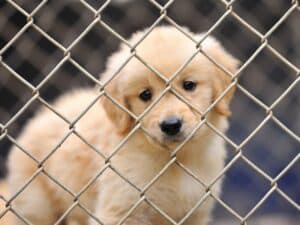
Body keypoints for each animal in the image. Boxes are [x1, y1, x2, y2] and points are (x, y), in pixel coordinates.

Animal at [7, 25, 239, 225]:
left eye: (189, 85)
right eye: (145, 95)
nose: (171, 125)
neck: (175, 159)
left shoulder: (196, 211)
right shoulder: (121, 208)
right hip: (37, 205)